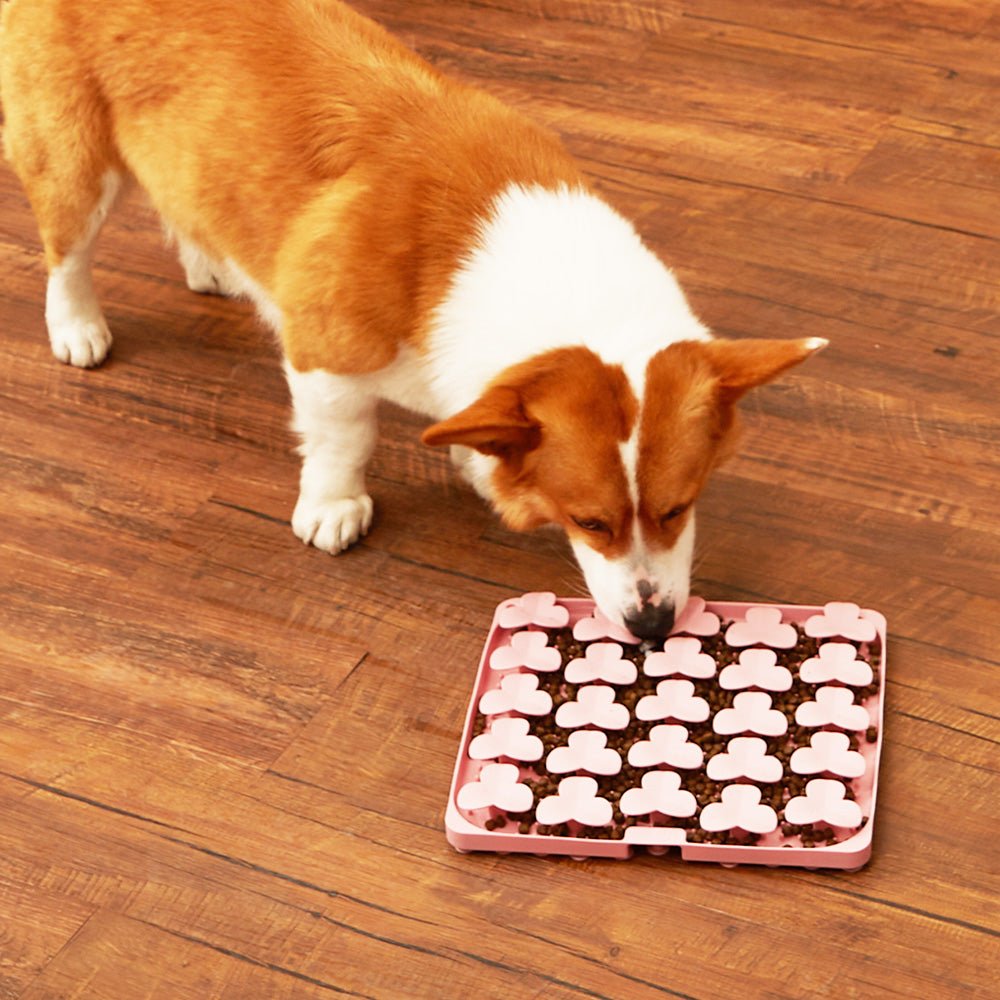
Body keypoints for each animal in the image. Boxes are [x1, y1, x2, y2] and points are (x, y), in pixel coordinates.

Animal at [3, 0, 824, 636]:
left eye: (681, 506)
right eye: (590, 522)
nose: (654, 629)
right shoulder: (326, 360)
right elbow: (344, 442)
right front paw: (332, 509)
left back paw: (213, 266)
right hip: (73, 163)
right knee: (66, 250)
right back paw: (78, 328)